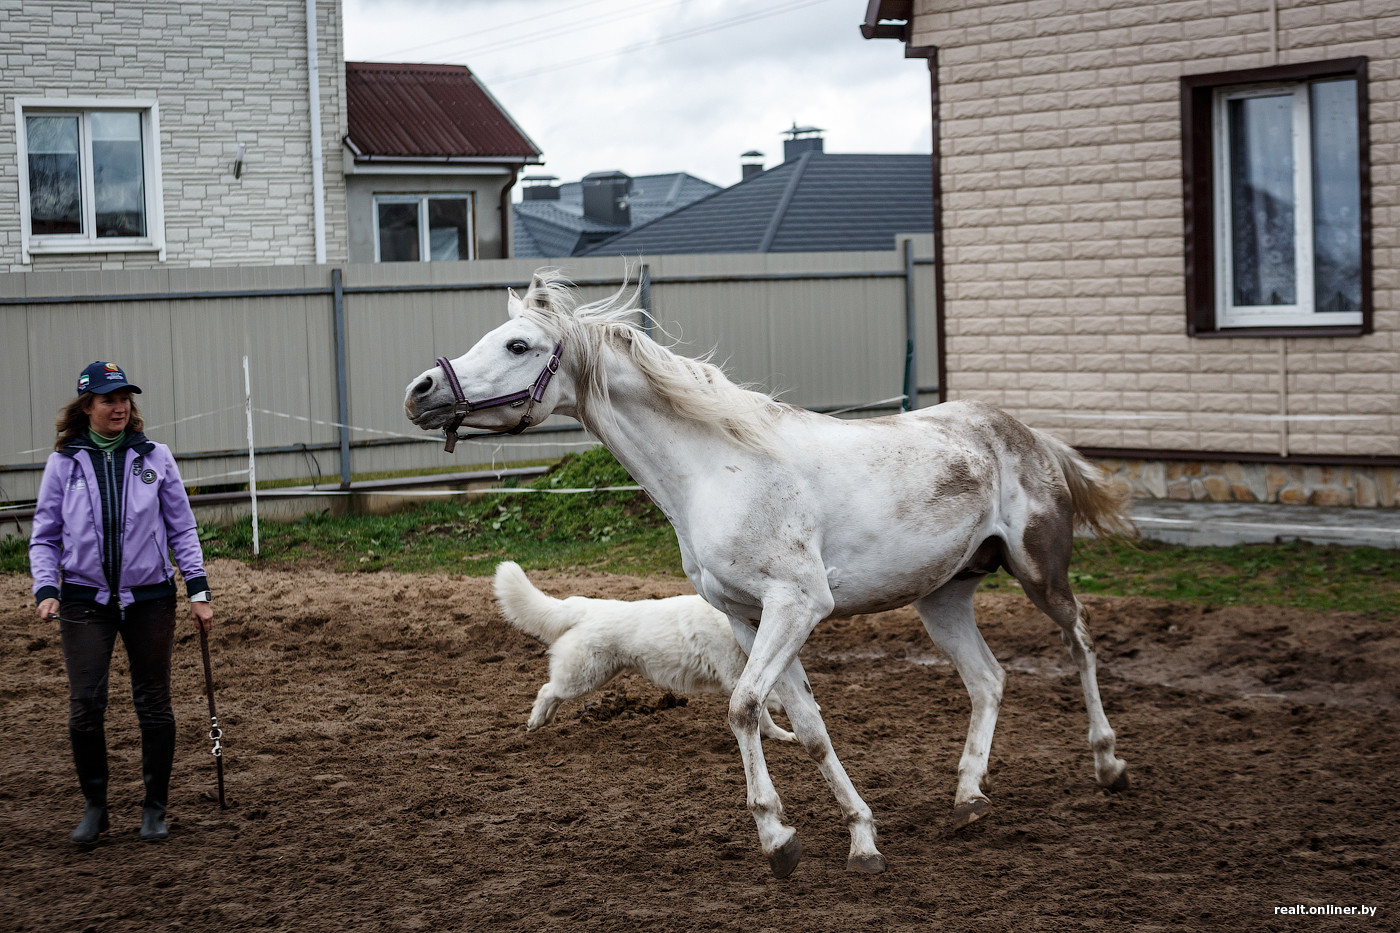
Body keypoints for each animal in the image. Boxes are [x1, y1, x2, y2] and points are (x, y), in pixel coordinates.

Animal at [495, 560, 800, 739]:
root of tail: (587, 605)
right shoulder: (735, 677)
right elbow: (765, 710)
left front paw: (783, 735)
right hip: (584, 677)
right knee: (547, 691)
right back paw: (535, 722)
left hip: (590, 676)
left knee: (553, 694)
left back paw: (545, 720)